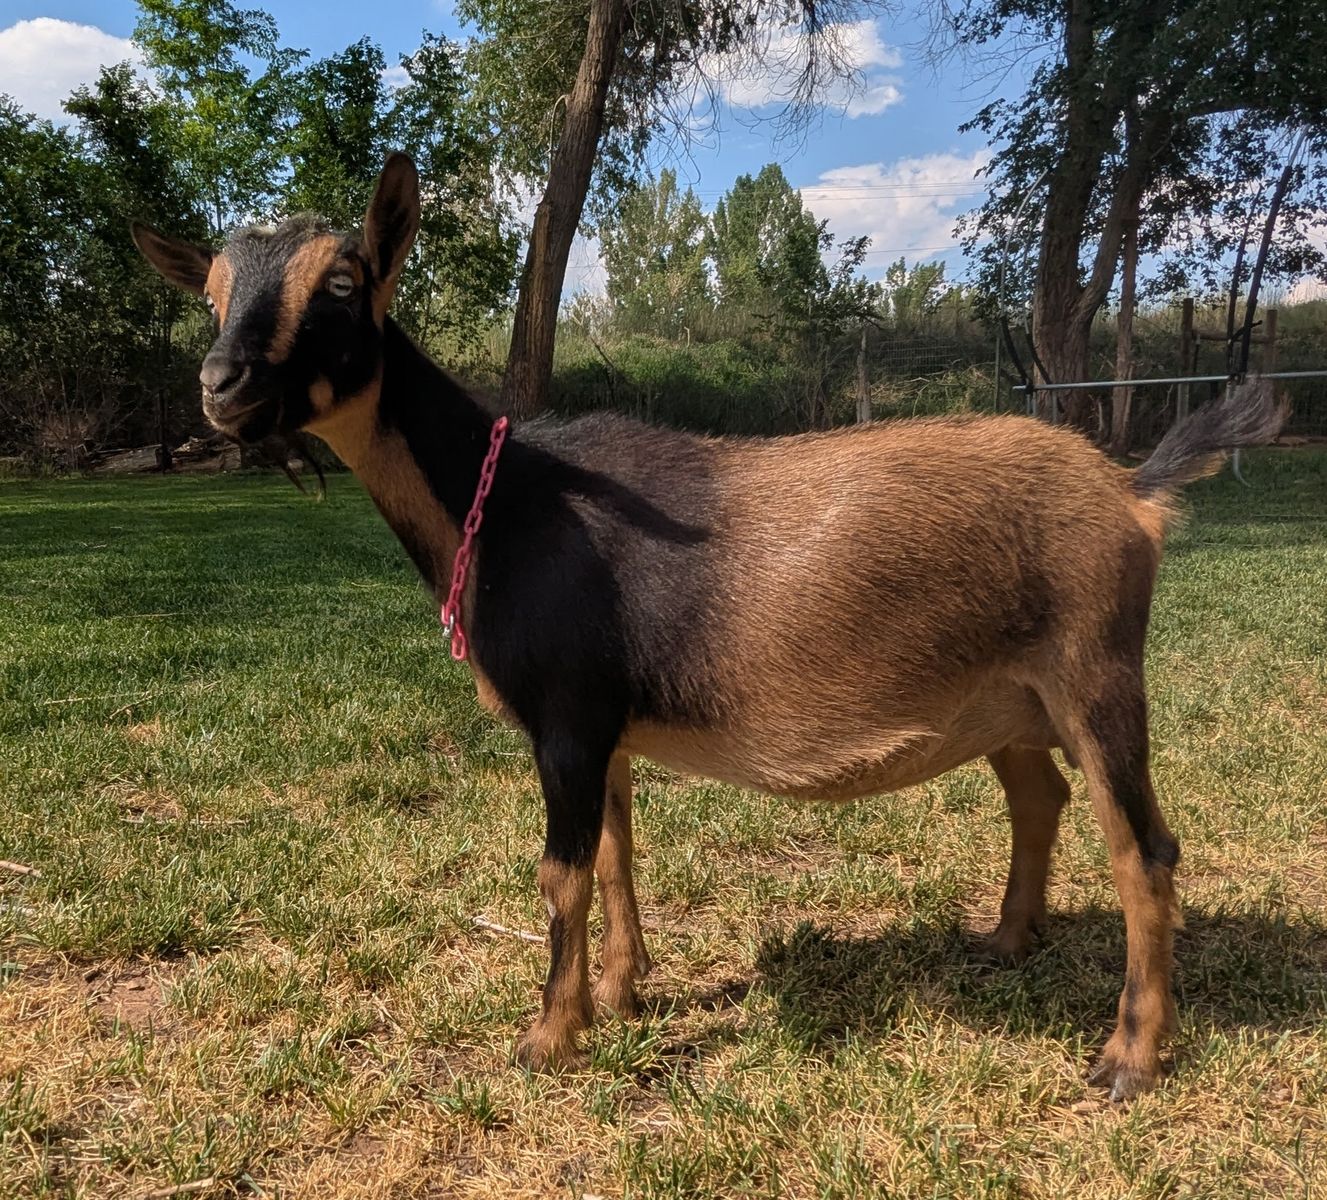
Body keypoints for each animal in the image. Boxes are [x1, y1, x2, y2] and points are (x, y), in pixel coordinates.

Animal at [134, 154, 1285, 1100]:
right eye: (212, 294)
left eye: (340, 283)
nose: (222, 386)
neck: (508, 506)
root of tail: (1131, 493)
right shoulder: (603, 723)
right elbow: (613, 853)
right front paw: (622, 991)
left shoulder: (567, 715)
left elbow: (560, 870)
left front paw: (547, 1039)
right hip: (1008, 694)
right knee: (1037, 796)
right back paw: (1004, 941)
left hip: (1095, 672)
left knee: (1143, 847)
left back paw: (1127, 1059)